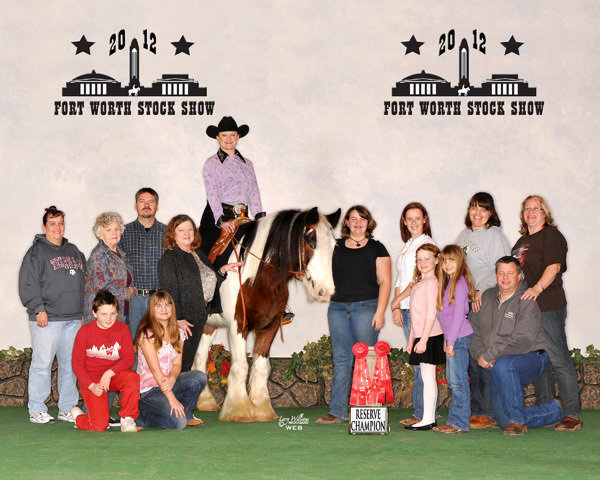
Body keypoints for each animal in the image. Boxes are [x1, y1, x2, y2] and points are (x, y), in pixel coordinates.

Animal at [193, 206, 340, 420]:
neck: (257, 277)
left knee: (200, 356)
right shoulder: (238, 325)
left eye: (334, 245)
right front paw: (239, 410)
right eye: (312, 242)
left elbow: (261, 367)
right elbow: (241, 366)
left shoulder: (270, 326)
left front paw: (262, 409)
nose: (326, 291)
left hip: (208, 325)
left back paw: (205, 401)